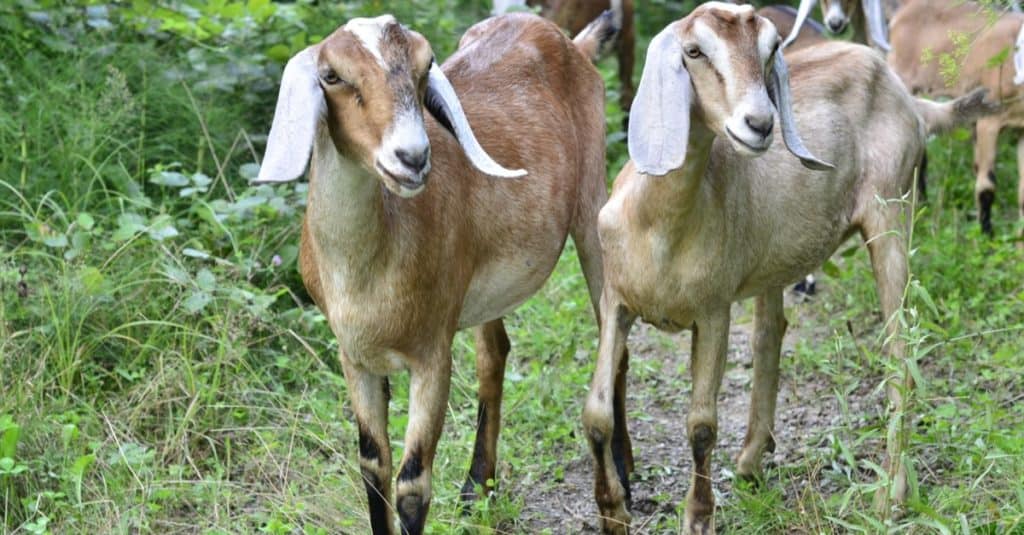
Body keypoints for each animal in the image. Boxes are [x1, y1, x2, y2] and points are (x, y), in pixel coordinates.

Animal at [253, 12, 614, 532]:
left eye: (425, 65)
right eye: (332, 75)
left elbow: (412, 483)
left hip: (592, 208)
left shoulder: (431, 354)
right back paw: (477, 486)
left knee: (610, 330)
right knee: (494, 354)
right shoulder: (353, 356)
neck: (365, 272)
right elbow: (373, 466)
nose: (412, 157)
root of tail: (572, 43)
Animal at [577, 3, 991, 528]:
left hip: (892, 212)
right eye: (694, 51)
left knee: (900, 350)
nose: (759, 123)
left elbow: (701, 424)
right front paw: (613, 513)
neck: (659, 228)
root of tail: (908, 98)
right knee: (771, 331)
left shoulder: (713, 311)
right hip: (774, 259)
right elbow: (596, 413)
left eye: (771, 48)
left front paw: (698, 517)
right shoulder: (616, 302)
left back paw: (891, 497)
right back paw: (753, 459)